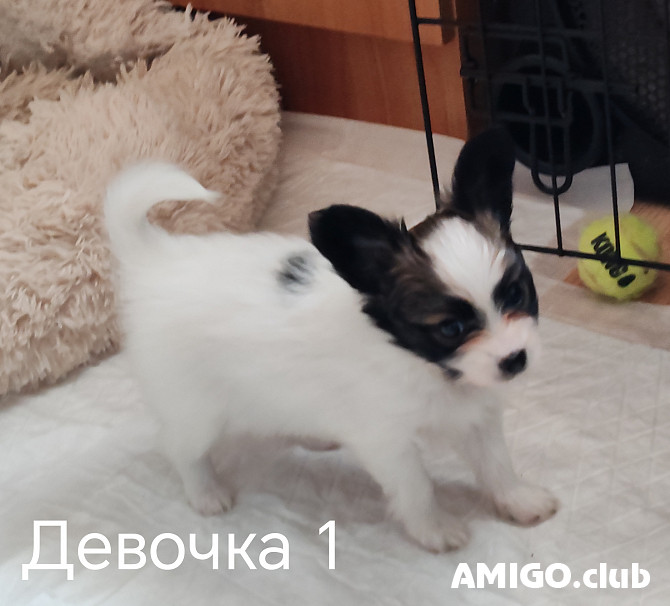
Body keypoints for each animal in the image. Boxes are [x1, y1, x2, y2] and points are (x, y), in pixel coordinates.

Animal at [103, 131, 556, 552]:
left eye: (515, 294)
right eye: (450, 329)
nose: (515, 359)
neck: (426, 365)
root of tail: (156, 258)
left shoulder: (477, 417)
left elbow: (496, 464)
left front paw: (520, 501)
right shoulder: (386, 440)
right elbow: (416, 487)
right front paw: (435, 529)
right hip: (195, 407)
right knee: (180, 447)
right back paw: (206, 494)